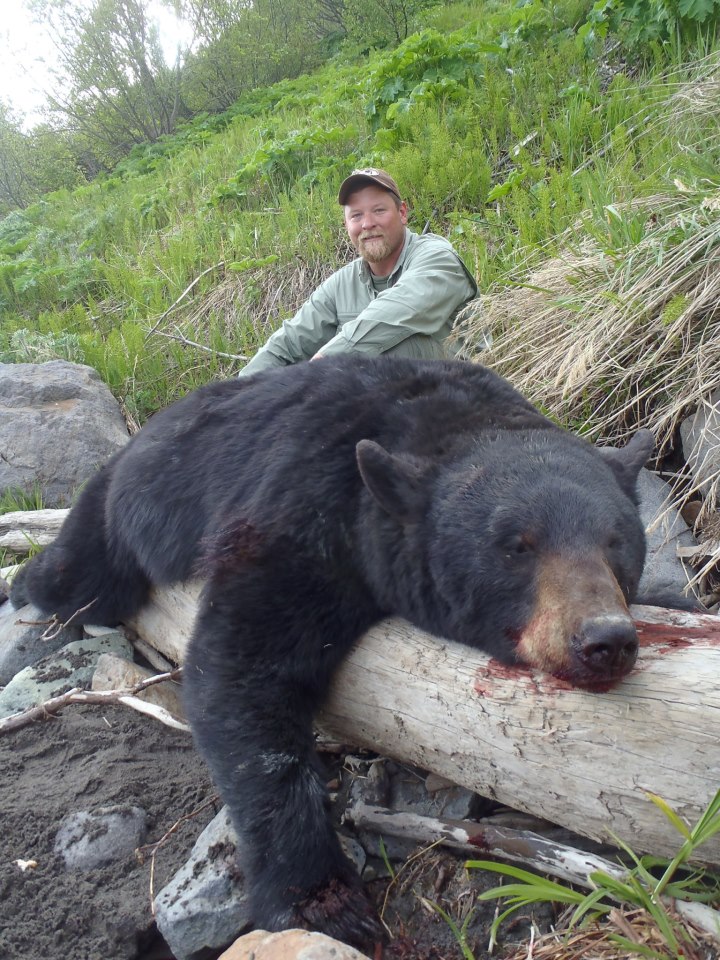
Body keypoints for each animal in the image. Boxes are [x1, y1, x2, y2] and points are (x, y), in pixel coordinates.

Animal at [11, 355, 654, 950]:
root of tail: (146, 426)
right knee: (77, 576)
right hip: (118, 505)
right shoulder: (300, 511)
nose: (605, 640)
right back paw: (24, 585)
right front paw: (322, 902)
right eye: (517, 546)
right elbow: (241, 675)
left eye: (616, 542)